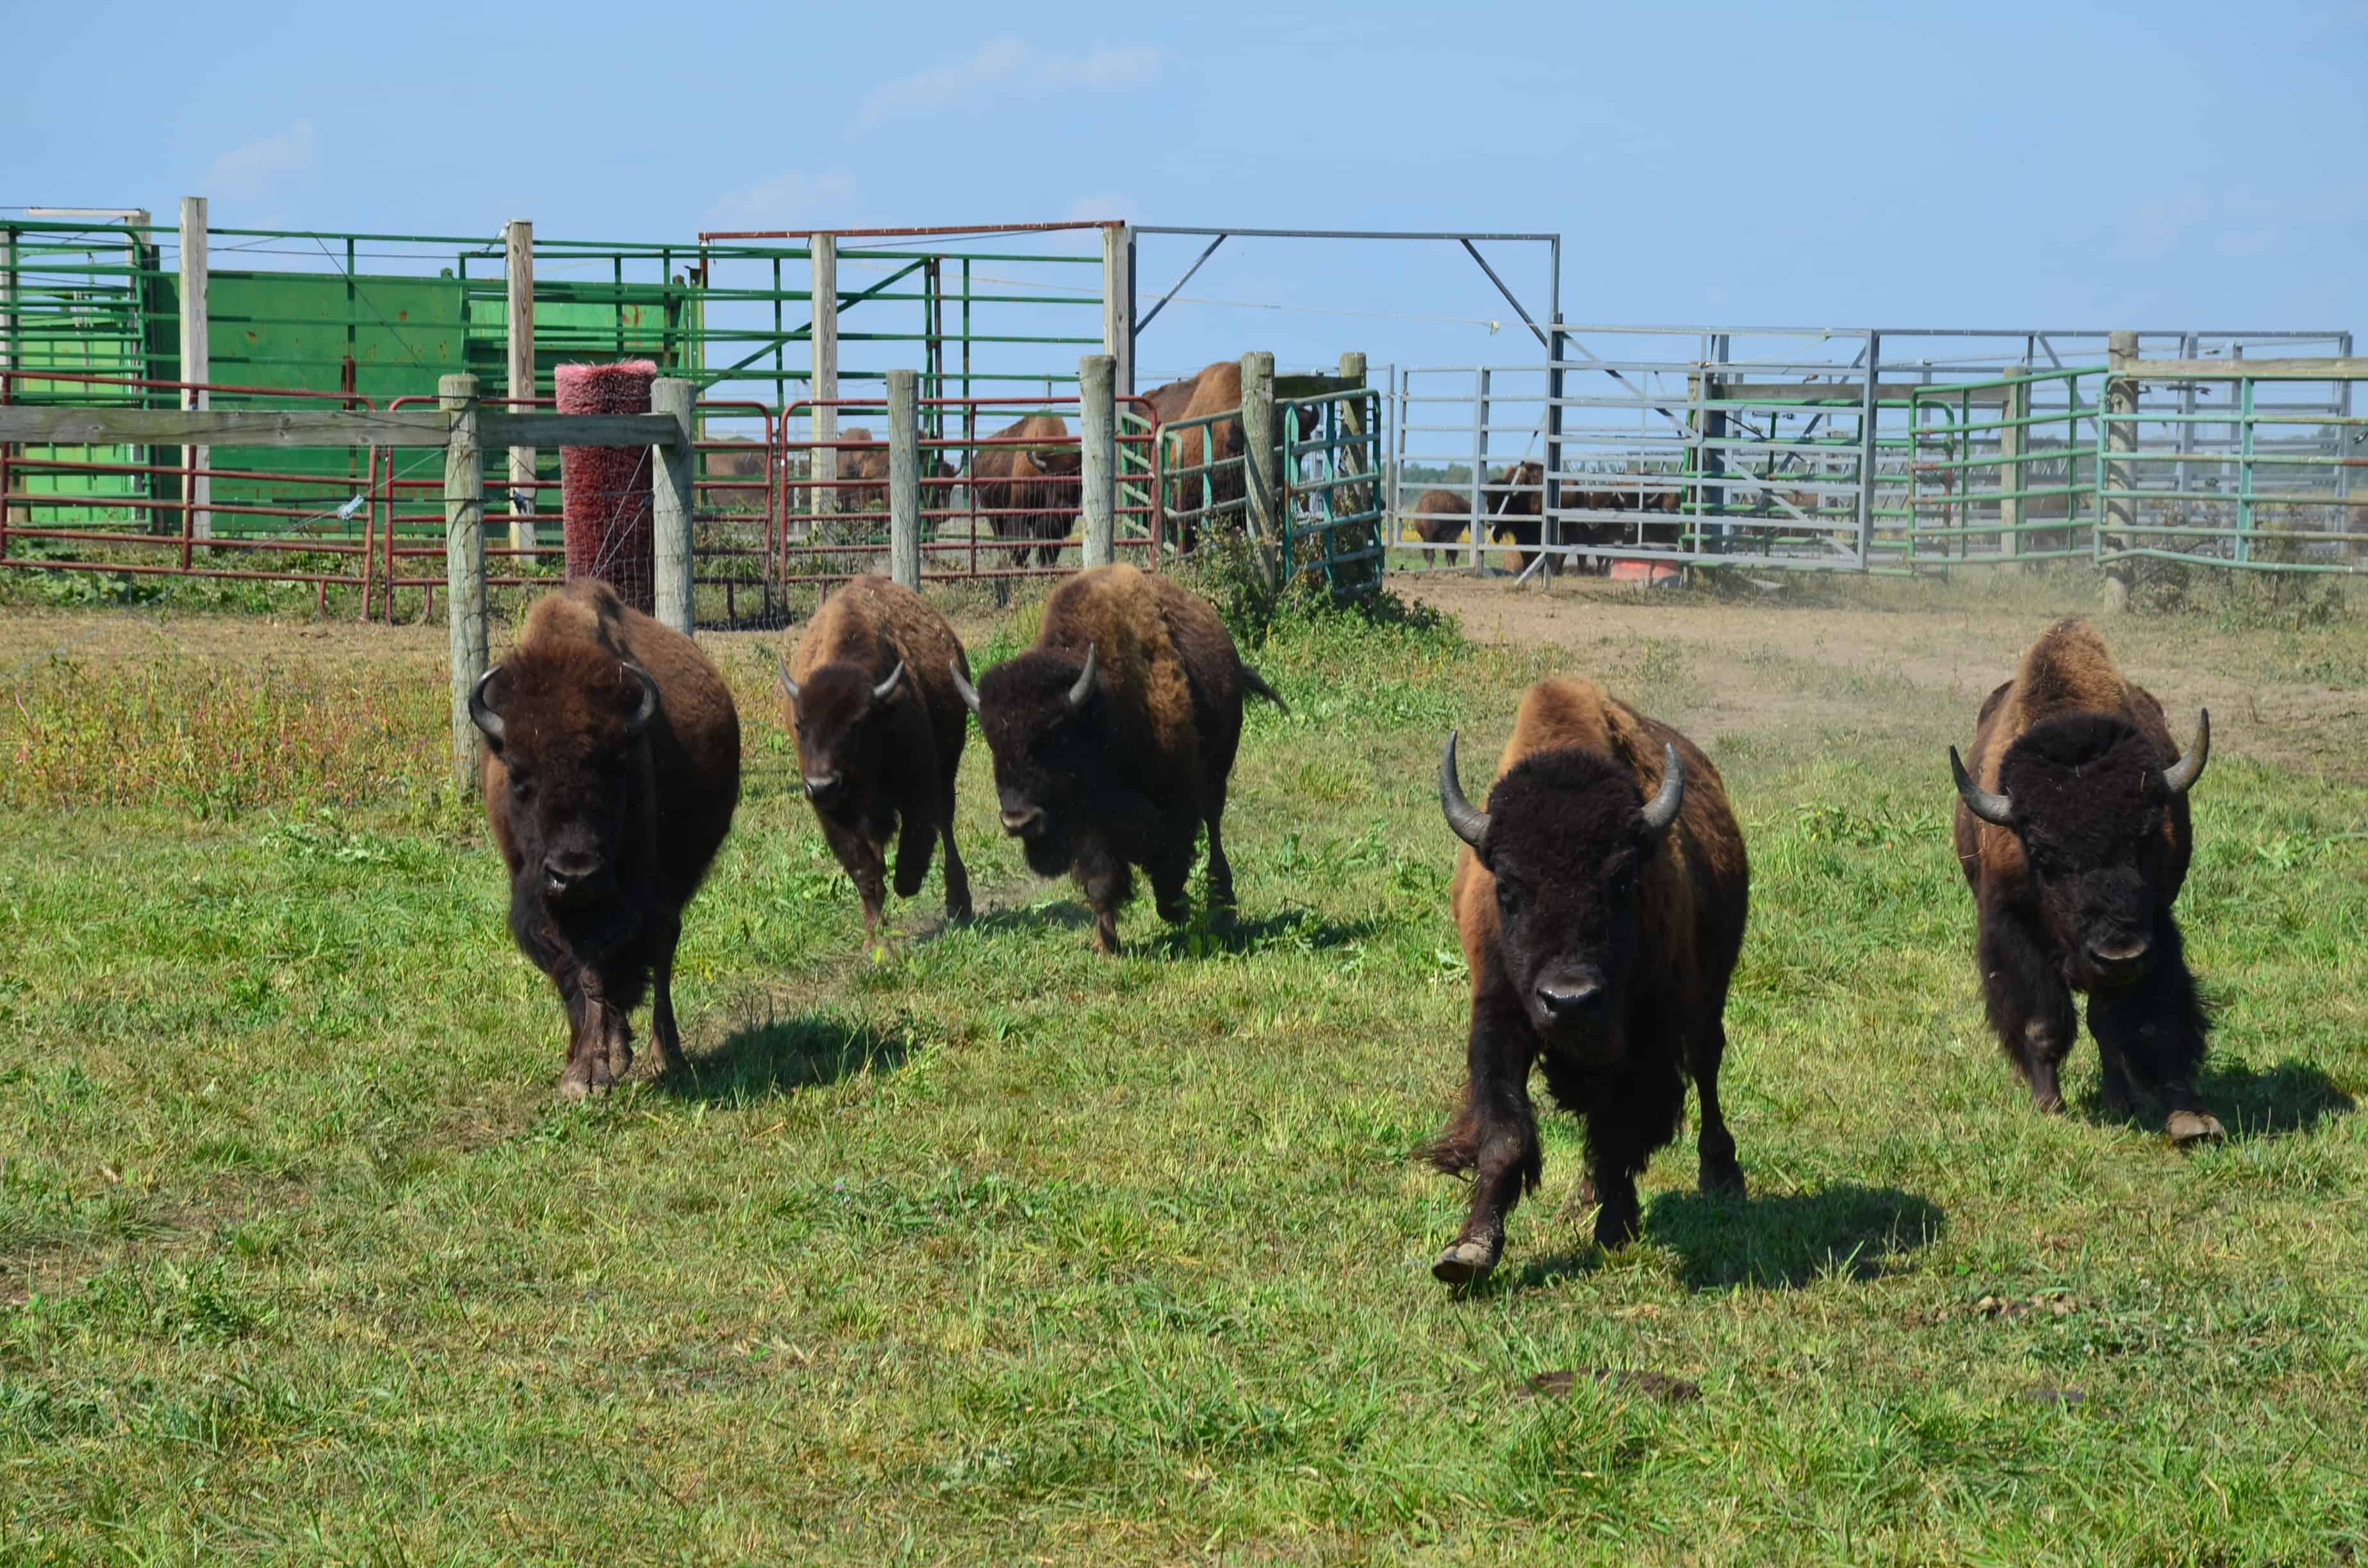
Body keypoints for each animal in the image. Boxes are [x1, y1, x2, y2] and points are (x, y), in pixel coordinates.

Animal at [468, 580, 743, 1104]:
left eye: (617, 767)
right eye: (518, 775)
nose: (574, 873)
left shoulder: (618, 901)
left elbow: (598, 971)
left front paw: (594, 1071)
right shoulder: (542, 900)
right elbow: (572, 973)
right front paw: (584, 1062)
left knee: (662, 950)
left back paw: (665, 1054)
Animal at [781, 580, 975, 938]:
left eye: (857, 724)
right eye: (800, 725)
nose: (821, 785)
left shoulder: (920, 790)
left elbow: (915, 846)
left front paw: (906, 886)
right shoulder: (833, 813)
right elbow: (863, 868)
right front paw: (875, 934)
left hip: (948, 770)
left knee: (946, 825)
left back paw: (959, 903)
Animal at [947, 566, 1297, 956]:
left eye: (1054, 735)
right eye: (993, 742)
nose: (1018, 821)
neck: (1098, 712)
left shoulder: (1174, 801)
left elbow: (1171, 859)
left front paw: (1177, 910)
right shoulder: (1090, 827)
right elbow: (1102, 881)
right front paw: (1106, 943)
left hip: (1216, 777)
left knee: (1215, 830)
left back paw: (1222, 911)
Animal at [1411, 677, 1752, 1288]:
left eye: (1622, 880)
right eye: (1507, 888)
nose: (1570, 1001)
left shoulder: (1648, 1033)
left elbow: (1621, 1126)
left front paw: (1614, 1228)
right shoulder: (1499, 1015)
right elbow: (1506, 1134)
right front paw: (1468, 1252)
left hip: (1710, 992)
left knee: (1707, 1066)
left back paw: (1720, 1175)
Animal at [1941, 620, 2216, 1151]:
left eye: (2146, 837)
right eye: (2043, 854)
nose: (2120, 953)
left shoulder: (2155, 930)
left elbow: (2139, 1020)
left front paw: (2180, 1115)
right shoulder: (2012, 930)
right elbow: (2042, 1023)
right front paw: (2050, 1106)